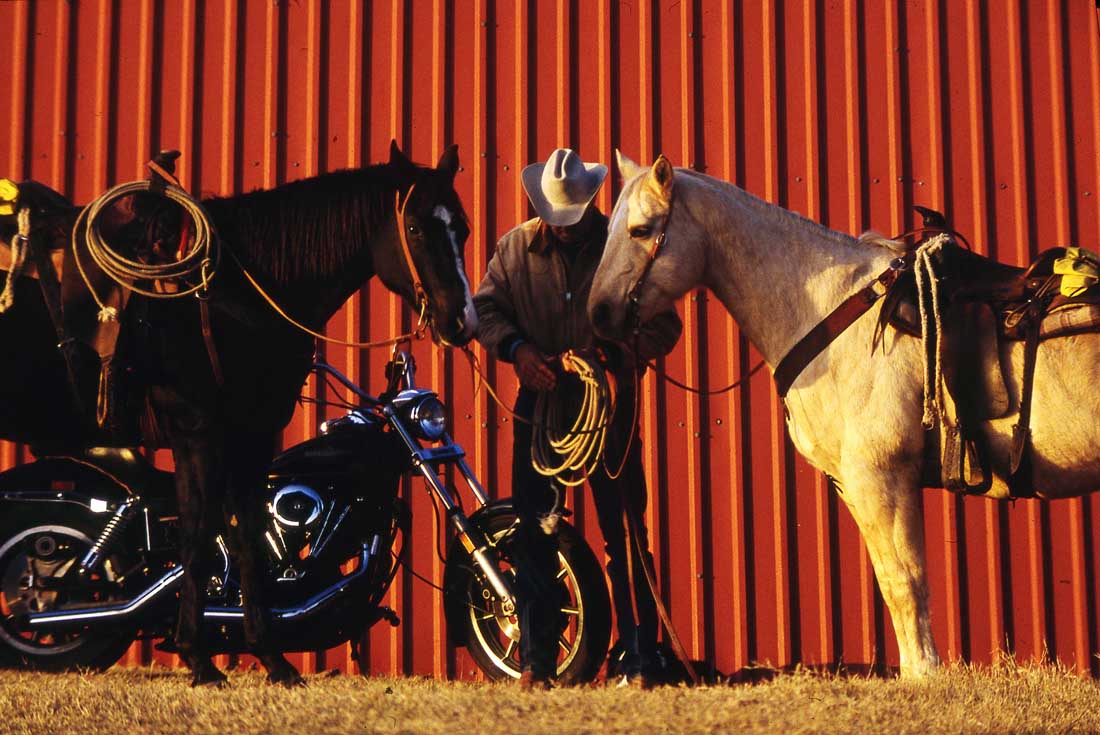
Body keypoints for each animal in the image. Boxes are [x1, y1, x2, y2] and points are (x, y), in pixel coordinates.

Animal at [0, 141, 473, 682]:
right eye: (414, 226)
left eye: (463, 226)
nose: (460, 320)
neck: (233, 293)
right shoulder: (198, 430)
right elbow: (199, 537)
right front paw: (198, 656)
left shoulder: (252, 434)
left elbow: (244, 536)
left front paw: (270, 657)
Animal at [589, 150, 1100, 677]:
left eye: (641, 230)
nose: (599, 314)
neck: (831, 314)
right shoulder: (855, 484)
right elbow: (893, 581)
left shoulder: (880, 476)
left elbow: (904, 582)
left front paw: (925, 676)